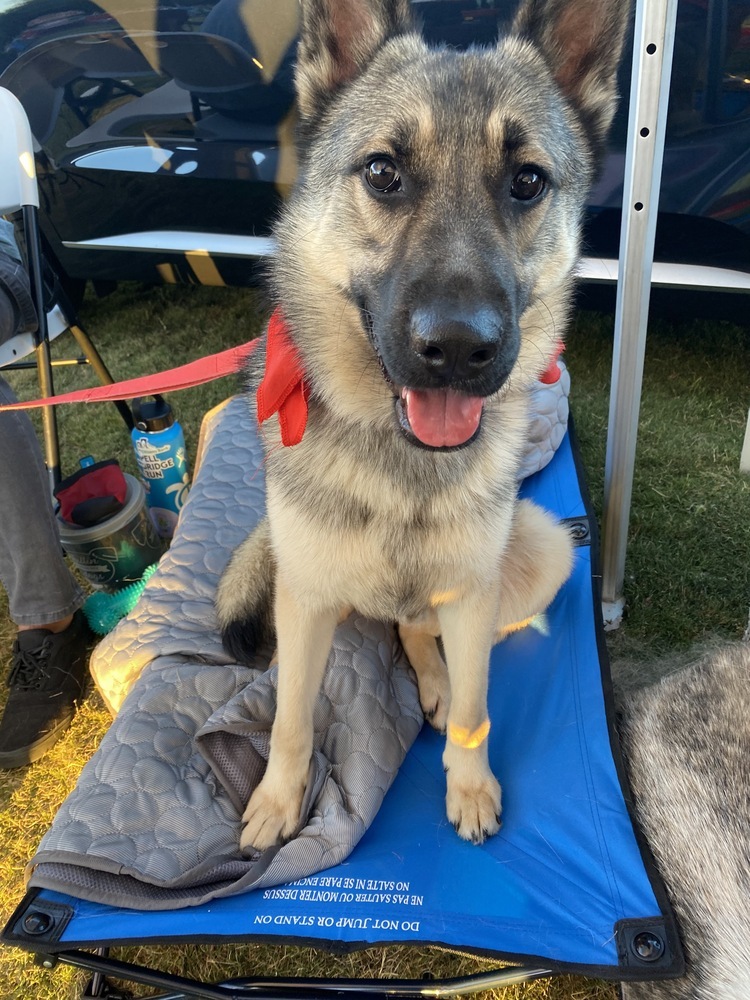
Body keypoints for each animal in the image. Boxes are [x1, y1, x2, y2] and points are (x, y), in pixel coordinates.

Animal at [216, 0, 628, 852]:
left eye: (527, 181)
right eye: (383, 173)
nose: (460, 350)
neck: (401, 462)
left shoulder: (470, 595)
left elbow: (475, 703)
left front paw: (468, 784)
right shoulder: (305, 604)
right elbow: (291, 719)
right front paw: (277, 800)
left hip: (537, 551)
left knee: (425, 629)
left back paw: (435, 677)